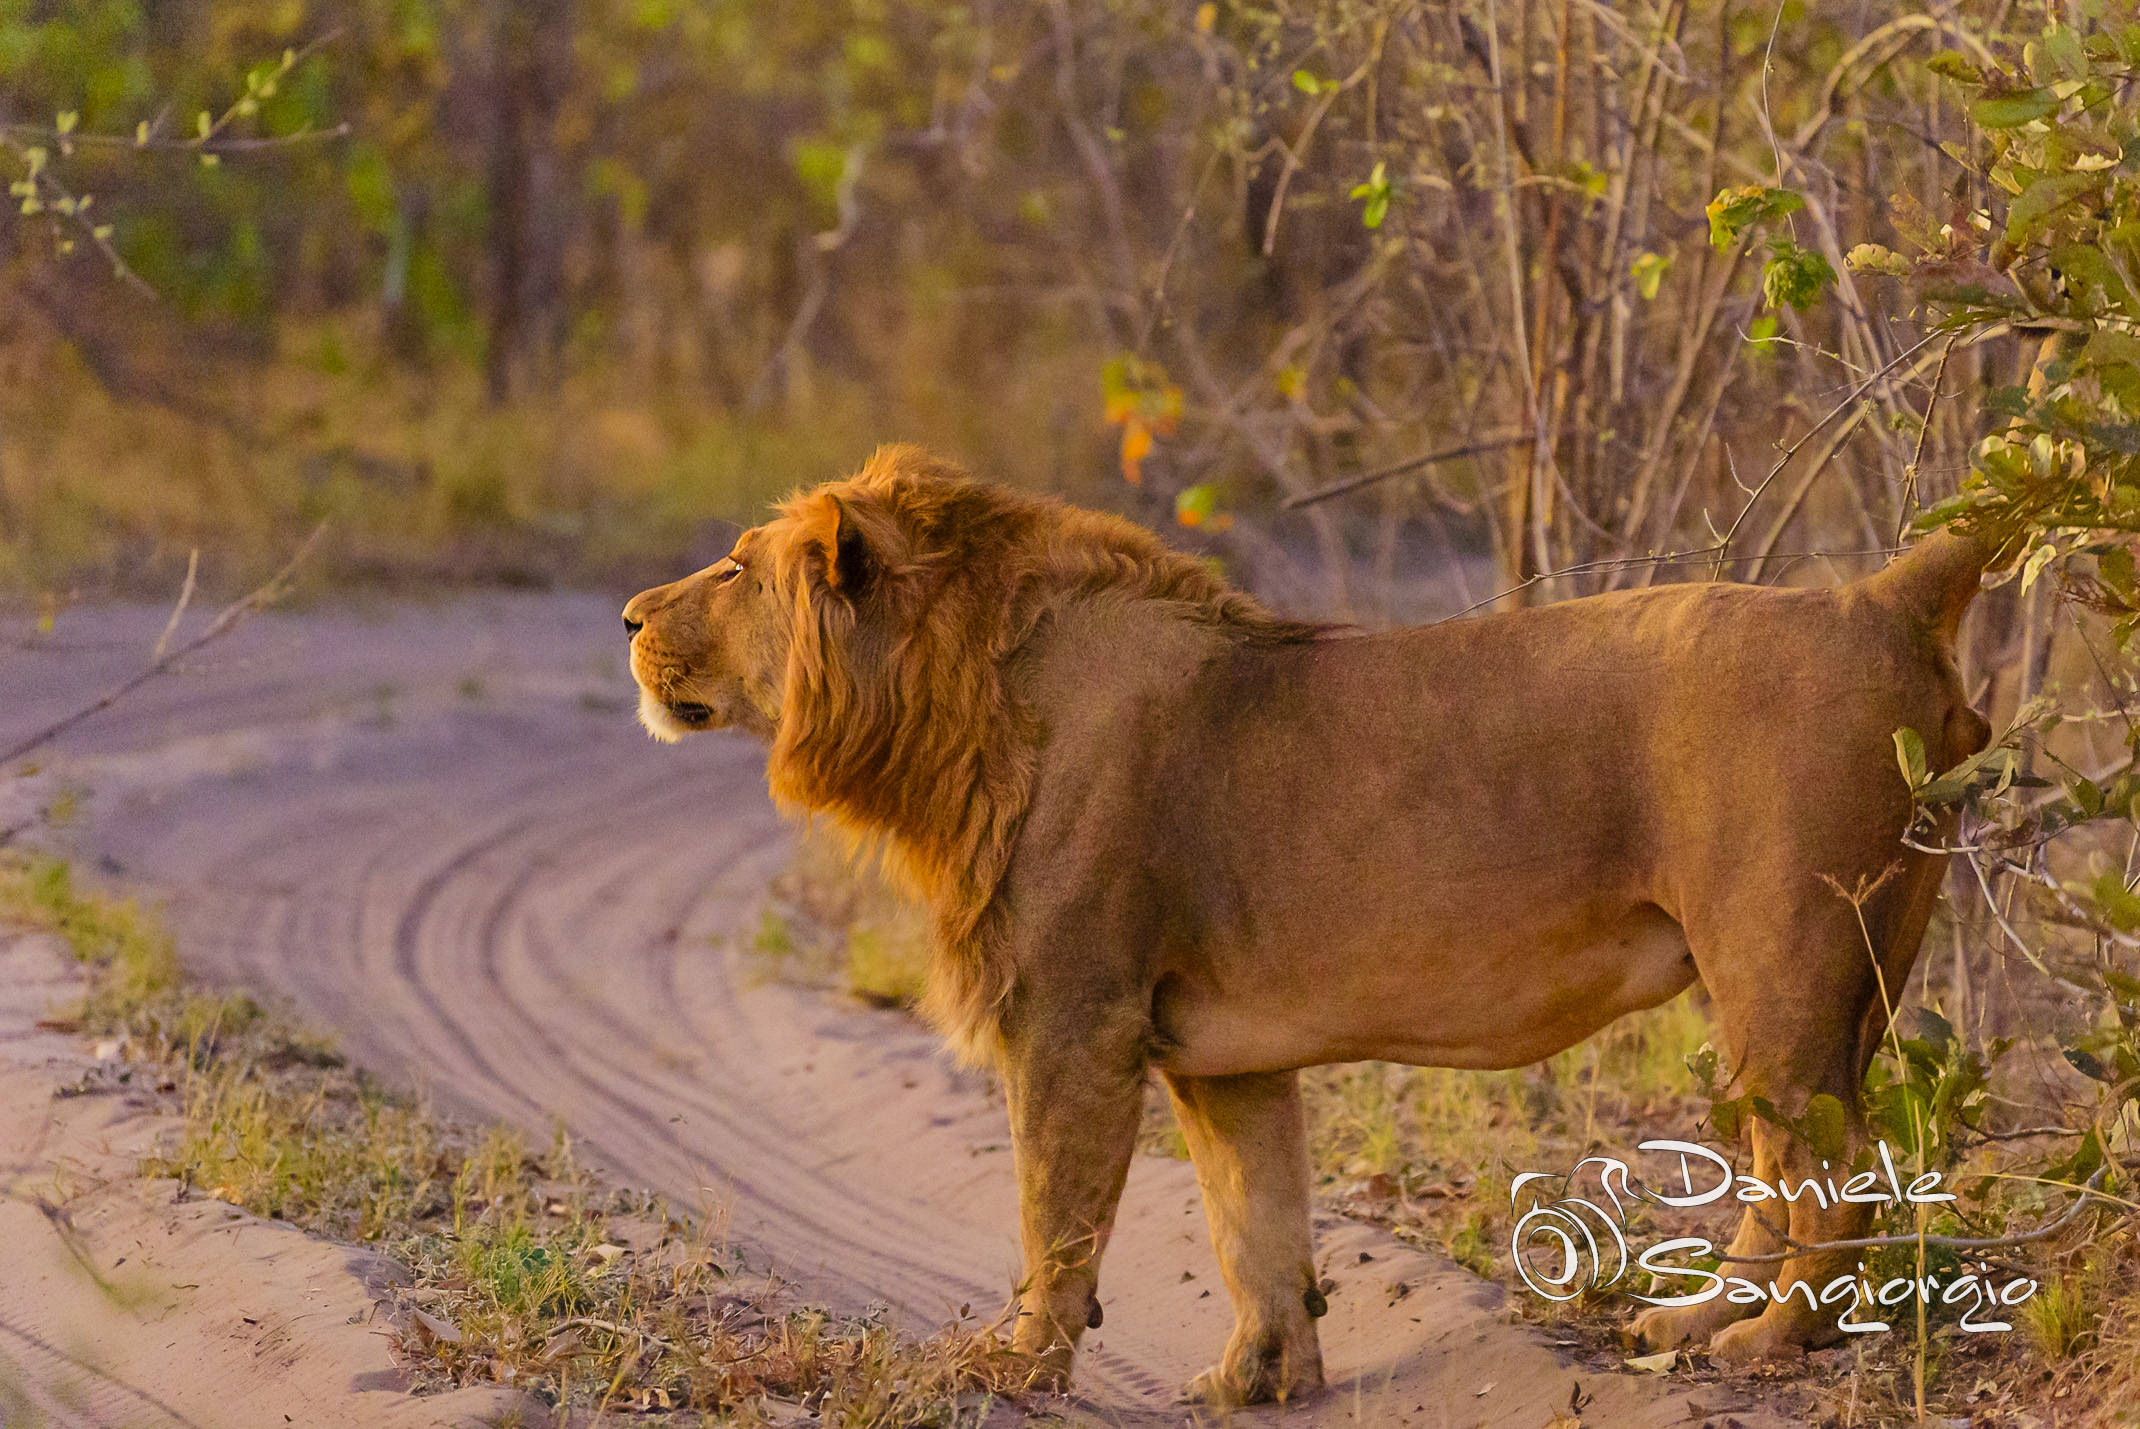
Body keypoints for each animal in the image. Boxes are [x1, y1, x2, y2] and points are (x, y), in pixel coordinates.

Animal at [623, 444, 1994, 1404]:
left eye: (735, 567)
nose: (630, 617)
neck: (962, 707)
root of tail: (1876, 598)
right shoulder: (1222, 1057)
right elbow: (1256, 1219)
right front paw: (1258, 1377)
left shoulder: (1075, 1017)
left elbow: (1053, 1213)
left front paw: (1012, 1364)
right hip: (1824, 977)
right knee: (1785, 1167)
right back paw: (1698, 1323)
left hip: (1779, 969)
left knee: (1836, 1177)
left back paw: (1769, 1341)